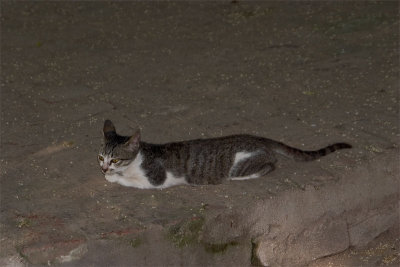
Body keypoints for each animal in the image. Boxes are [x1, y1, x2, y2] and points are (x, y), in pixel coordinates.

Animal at [98, 120, 352, 189]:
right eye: (100, 157)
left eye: (115, 159)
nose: (103, 167)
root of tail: (259, 138)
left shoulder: (154, 179)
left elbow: (129, 180)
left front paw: (113, 177)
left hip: (241, 164)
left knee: (271, 165)